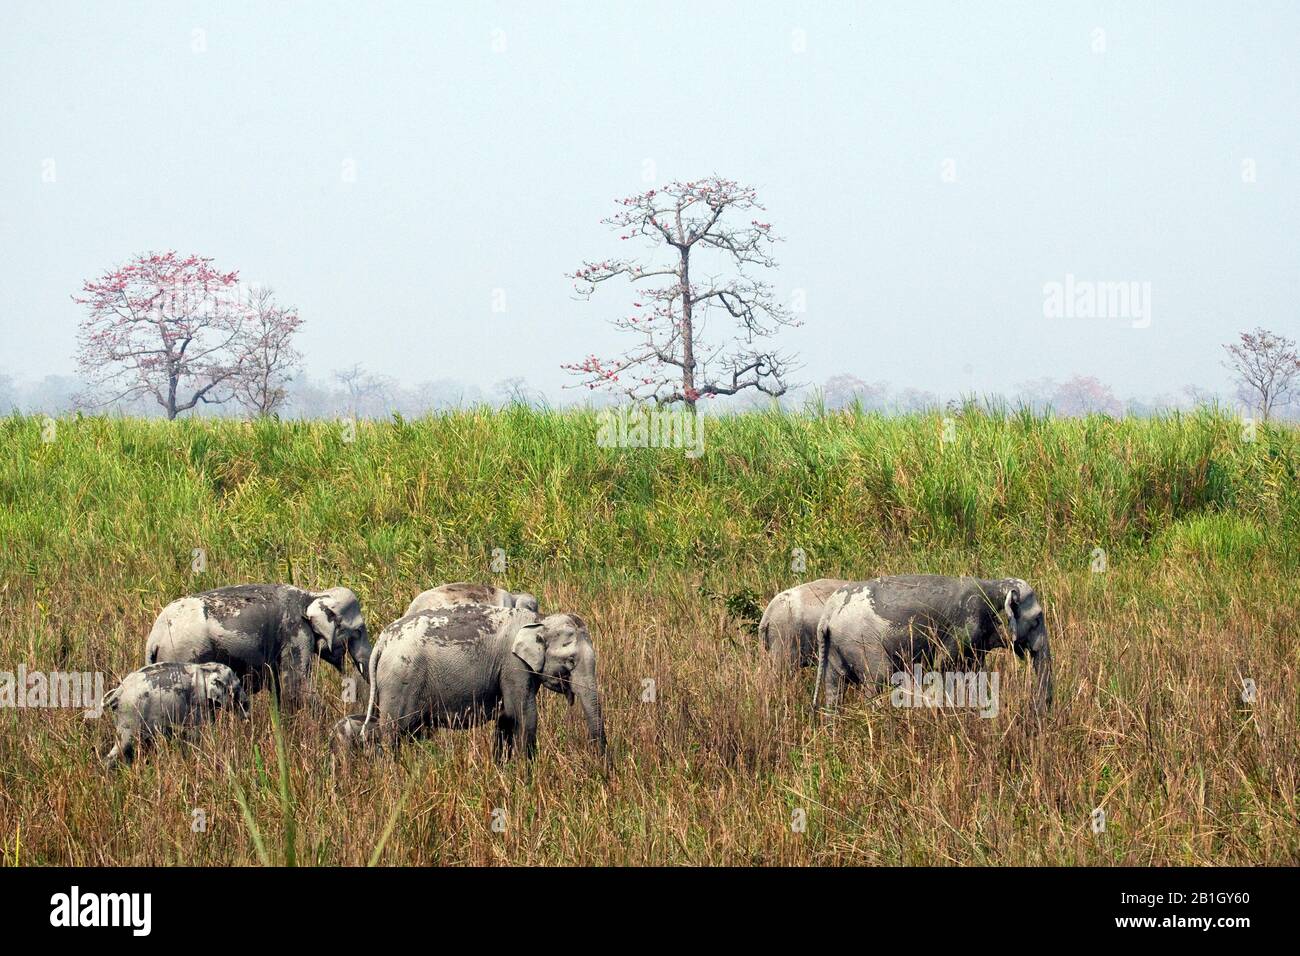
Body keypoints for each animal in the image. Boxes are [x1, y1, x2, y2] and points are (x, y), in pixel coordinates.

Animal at [101, 660, 248, 764]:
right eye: (237, 687)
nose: (246, 719)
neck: (206, 667)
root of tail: (118, 691)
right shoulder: (196, 702)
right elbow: (197, 733)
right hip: (130, 713)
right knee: (124, 744)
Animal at [144, 582, 374, 712]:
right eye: (359, 630)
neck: (312, 596)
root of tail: (154, 639)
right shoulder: (295, 632)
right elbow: (295, 686)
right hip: (185, 653)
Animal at [358, 606, 605, 764]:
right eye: (571, 661)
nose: (601, 768)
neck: (539, 620)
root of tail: (382, 641)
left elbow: (506, 718)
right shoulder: (513, 665)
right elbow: (523, 715)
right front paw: (527, 777)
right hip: (400, 681)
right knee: (393, 732)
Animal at [811, 574, 1055, 717]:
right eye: (1037, 620)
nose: (1040, 712)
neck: (995, 585)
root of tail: (827, 617)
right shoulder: (964, 625)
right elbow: (947, 668)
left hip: (835, 647)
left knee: (834, 689)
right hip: (862, 642)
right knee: (878, 681)